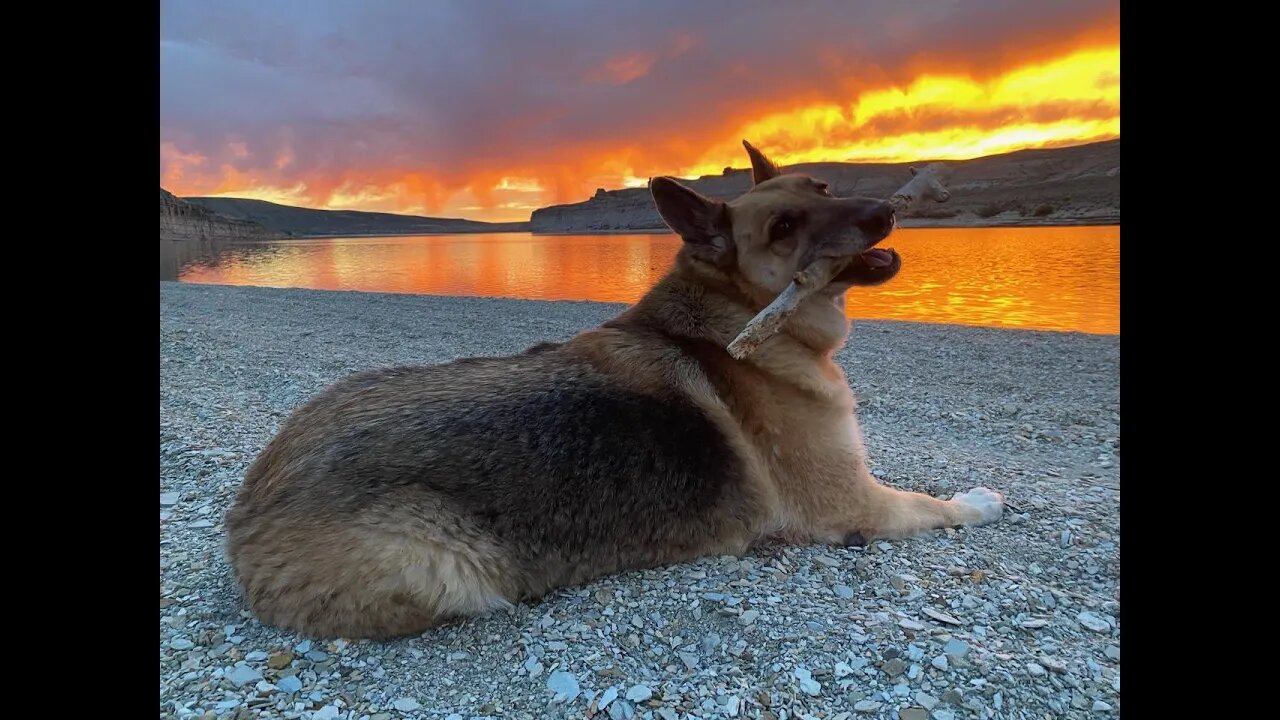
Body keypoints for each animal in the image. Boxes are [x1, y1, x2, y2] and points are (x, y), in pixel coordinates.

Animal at [230, 142, 1008, 635]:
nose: (883, 211)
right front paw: (978, 501)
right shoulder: (856, 504)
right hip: (447, 570)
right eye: (784, 226)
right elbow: (937, 506)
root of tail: (247, 511)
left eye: (823, 187)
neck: (736, 316)